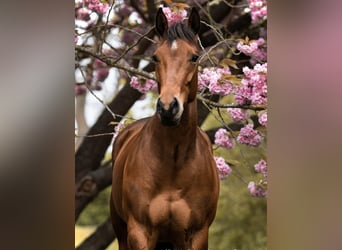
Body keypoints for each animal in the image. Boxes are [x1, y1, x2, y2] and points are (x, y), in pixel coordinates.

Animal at [111, 7, 220, 250]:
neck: (173, 163)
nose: (168, 108)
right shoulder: (139, 232)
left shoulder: (197, 234)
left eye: (194, 57)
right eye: (155, 57)